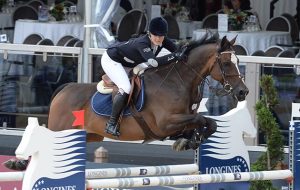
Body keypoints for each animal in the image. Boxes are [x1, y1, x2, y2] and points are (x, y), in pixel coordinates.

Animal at [4, 33, 248, 171]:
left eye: (238, 61)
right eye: (227, 63)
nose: (243, 92)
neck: (180, 80)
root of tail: (64, 89)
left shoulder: (180, 120)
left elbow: (208, 122)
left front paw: (190, 141)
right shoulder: (165, 124)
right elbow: (201, 119)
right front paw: (187, 141)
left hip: (88, 134)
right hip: (60, 129)